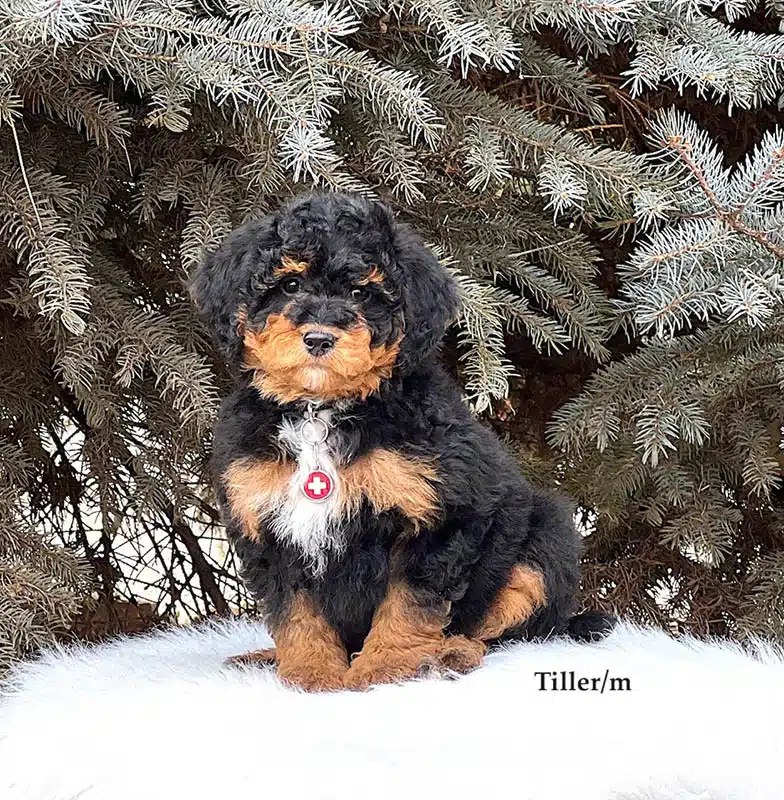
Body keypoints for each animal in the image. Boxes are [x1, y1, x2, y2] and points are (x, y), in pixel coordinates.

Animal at [190, 191, 612, 692]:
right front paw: (312, 675)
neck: (321, 410)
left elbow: (408, 604)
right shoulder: (264, 525)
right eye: (289, 285)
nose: (318, 339)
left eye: (361, 293)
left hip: (543, 543)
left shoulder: (441, 515)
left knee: (503, 633)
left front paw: (384, 671)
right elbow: (295, 612)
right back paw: (263, 657)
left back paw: (448, 654)